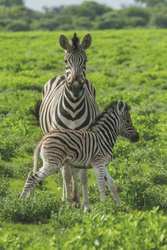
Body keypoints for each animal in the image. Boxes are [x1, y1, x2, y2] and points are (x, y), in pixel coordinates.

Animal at [32, 31, 99, 211]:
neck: (74, 108)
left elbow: (82, 175)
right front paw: (68, 202)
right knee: (65, 170)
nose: (75, 87)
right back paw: (67, 198)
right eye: (65, 61)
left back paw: (76, 199)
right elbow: (66, 174)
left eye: (85, 60)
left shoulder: (86, 140)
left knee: (73, 169)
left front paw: (85, 205)